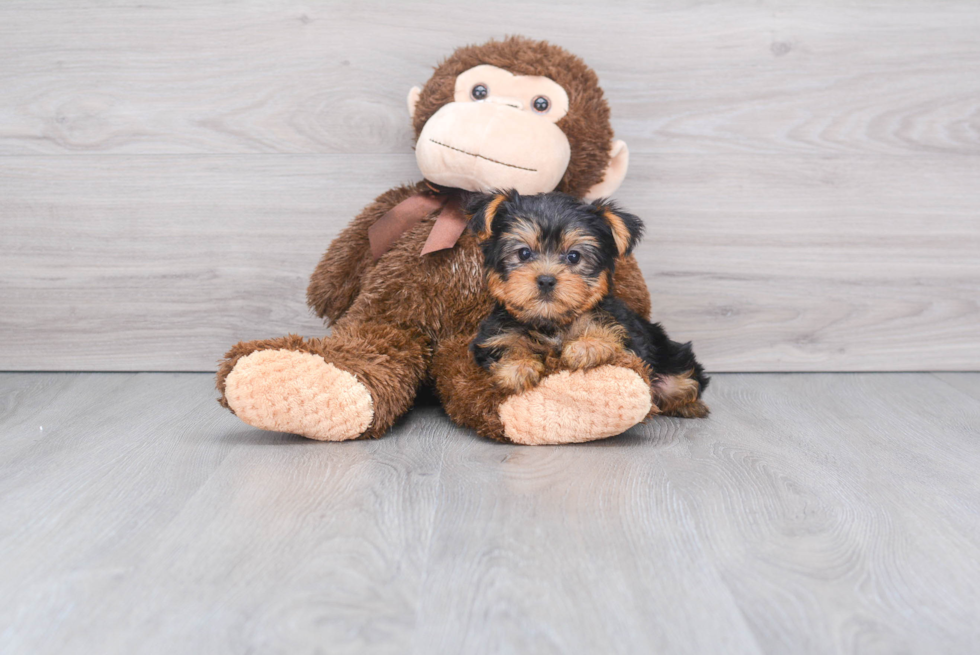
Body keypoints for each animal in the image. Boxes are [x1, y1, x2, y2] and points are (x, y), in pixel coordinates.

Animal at [468, 190, 708, 418]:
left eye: (574, 256)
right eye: (524, 253)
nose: (546, 279)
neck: (551, 322)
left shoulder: (627, 332)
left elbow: (610, 333)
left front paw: (587, 346)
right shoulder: (492, 334)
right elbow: (507, 342)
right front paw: (518, 365)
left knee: (685, 383)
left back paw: (691, 406)